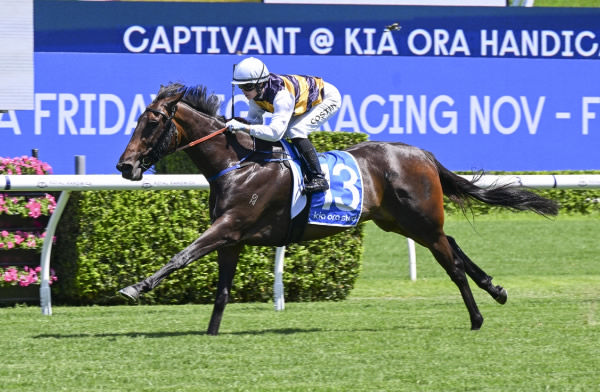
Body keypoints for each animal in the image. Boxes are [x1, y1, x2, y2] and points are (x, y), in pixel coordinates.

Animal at [116, 82, 556, 334]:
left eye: (152, 122)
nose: (126, 166)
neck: (239, 163)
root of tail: (422, 154)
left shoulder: (229, 226)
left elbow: (183, 254)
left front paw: (135, 287)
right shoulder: (232, 238)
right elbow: (222, 292)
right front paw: (210, 334)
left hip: (419, 220)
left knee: (453, 264)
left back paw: (477, 319)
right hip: (402, 222)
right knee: (453, 244)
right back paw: (496, 290)